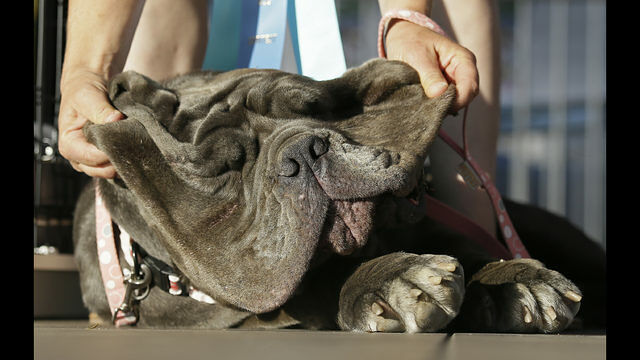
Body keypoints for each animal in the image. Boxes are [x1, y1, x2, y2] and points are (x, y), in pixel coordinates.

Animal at [75, 58, 604, 332]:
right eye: (226, 165)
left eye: (315, 108)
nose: (303, 151)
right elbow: (321, 284)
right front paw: (389, 281)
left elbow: (470, 246)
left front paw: (513, 279)